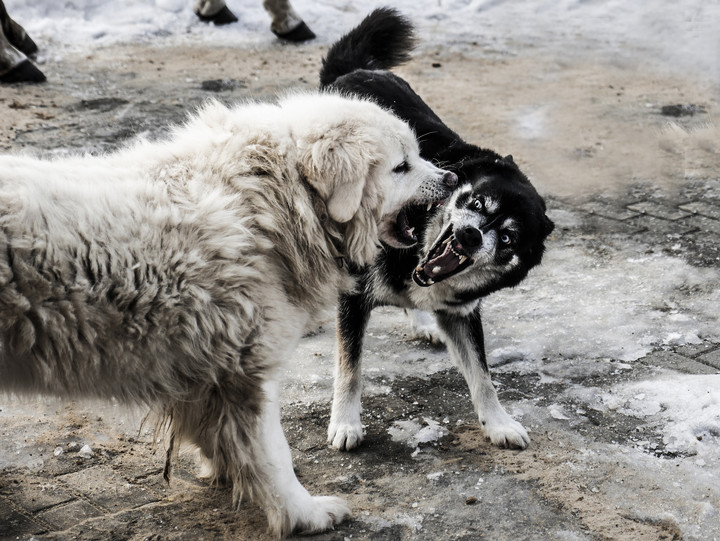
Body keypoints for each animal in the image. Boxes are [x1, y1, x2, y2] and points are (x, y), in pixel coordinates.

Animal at [0, 93, 456, 536]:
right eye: (402, 165)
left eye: (418, 155)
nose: (451, 178)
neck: (273, 201)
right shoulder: (246, 372)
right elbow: (274, 457)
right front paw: (302, 514)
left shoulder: (210, 372)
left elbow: (216, 433)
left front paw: (225, 470)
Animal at [322, 8, 556, 450]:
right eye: (477, 203)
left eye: (509, 237)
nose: (470, 236)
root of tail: (356, 70)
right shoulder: (356, 296)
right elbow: (349, 368)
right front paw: (345, 423)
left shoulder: (461, 313)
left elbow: (482, 376)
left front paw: (498, 423)